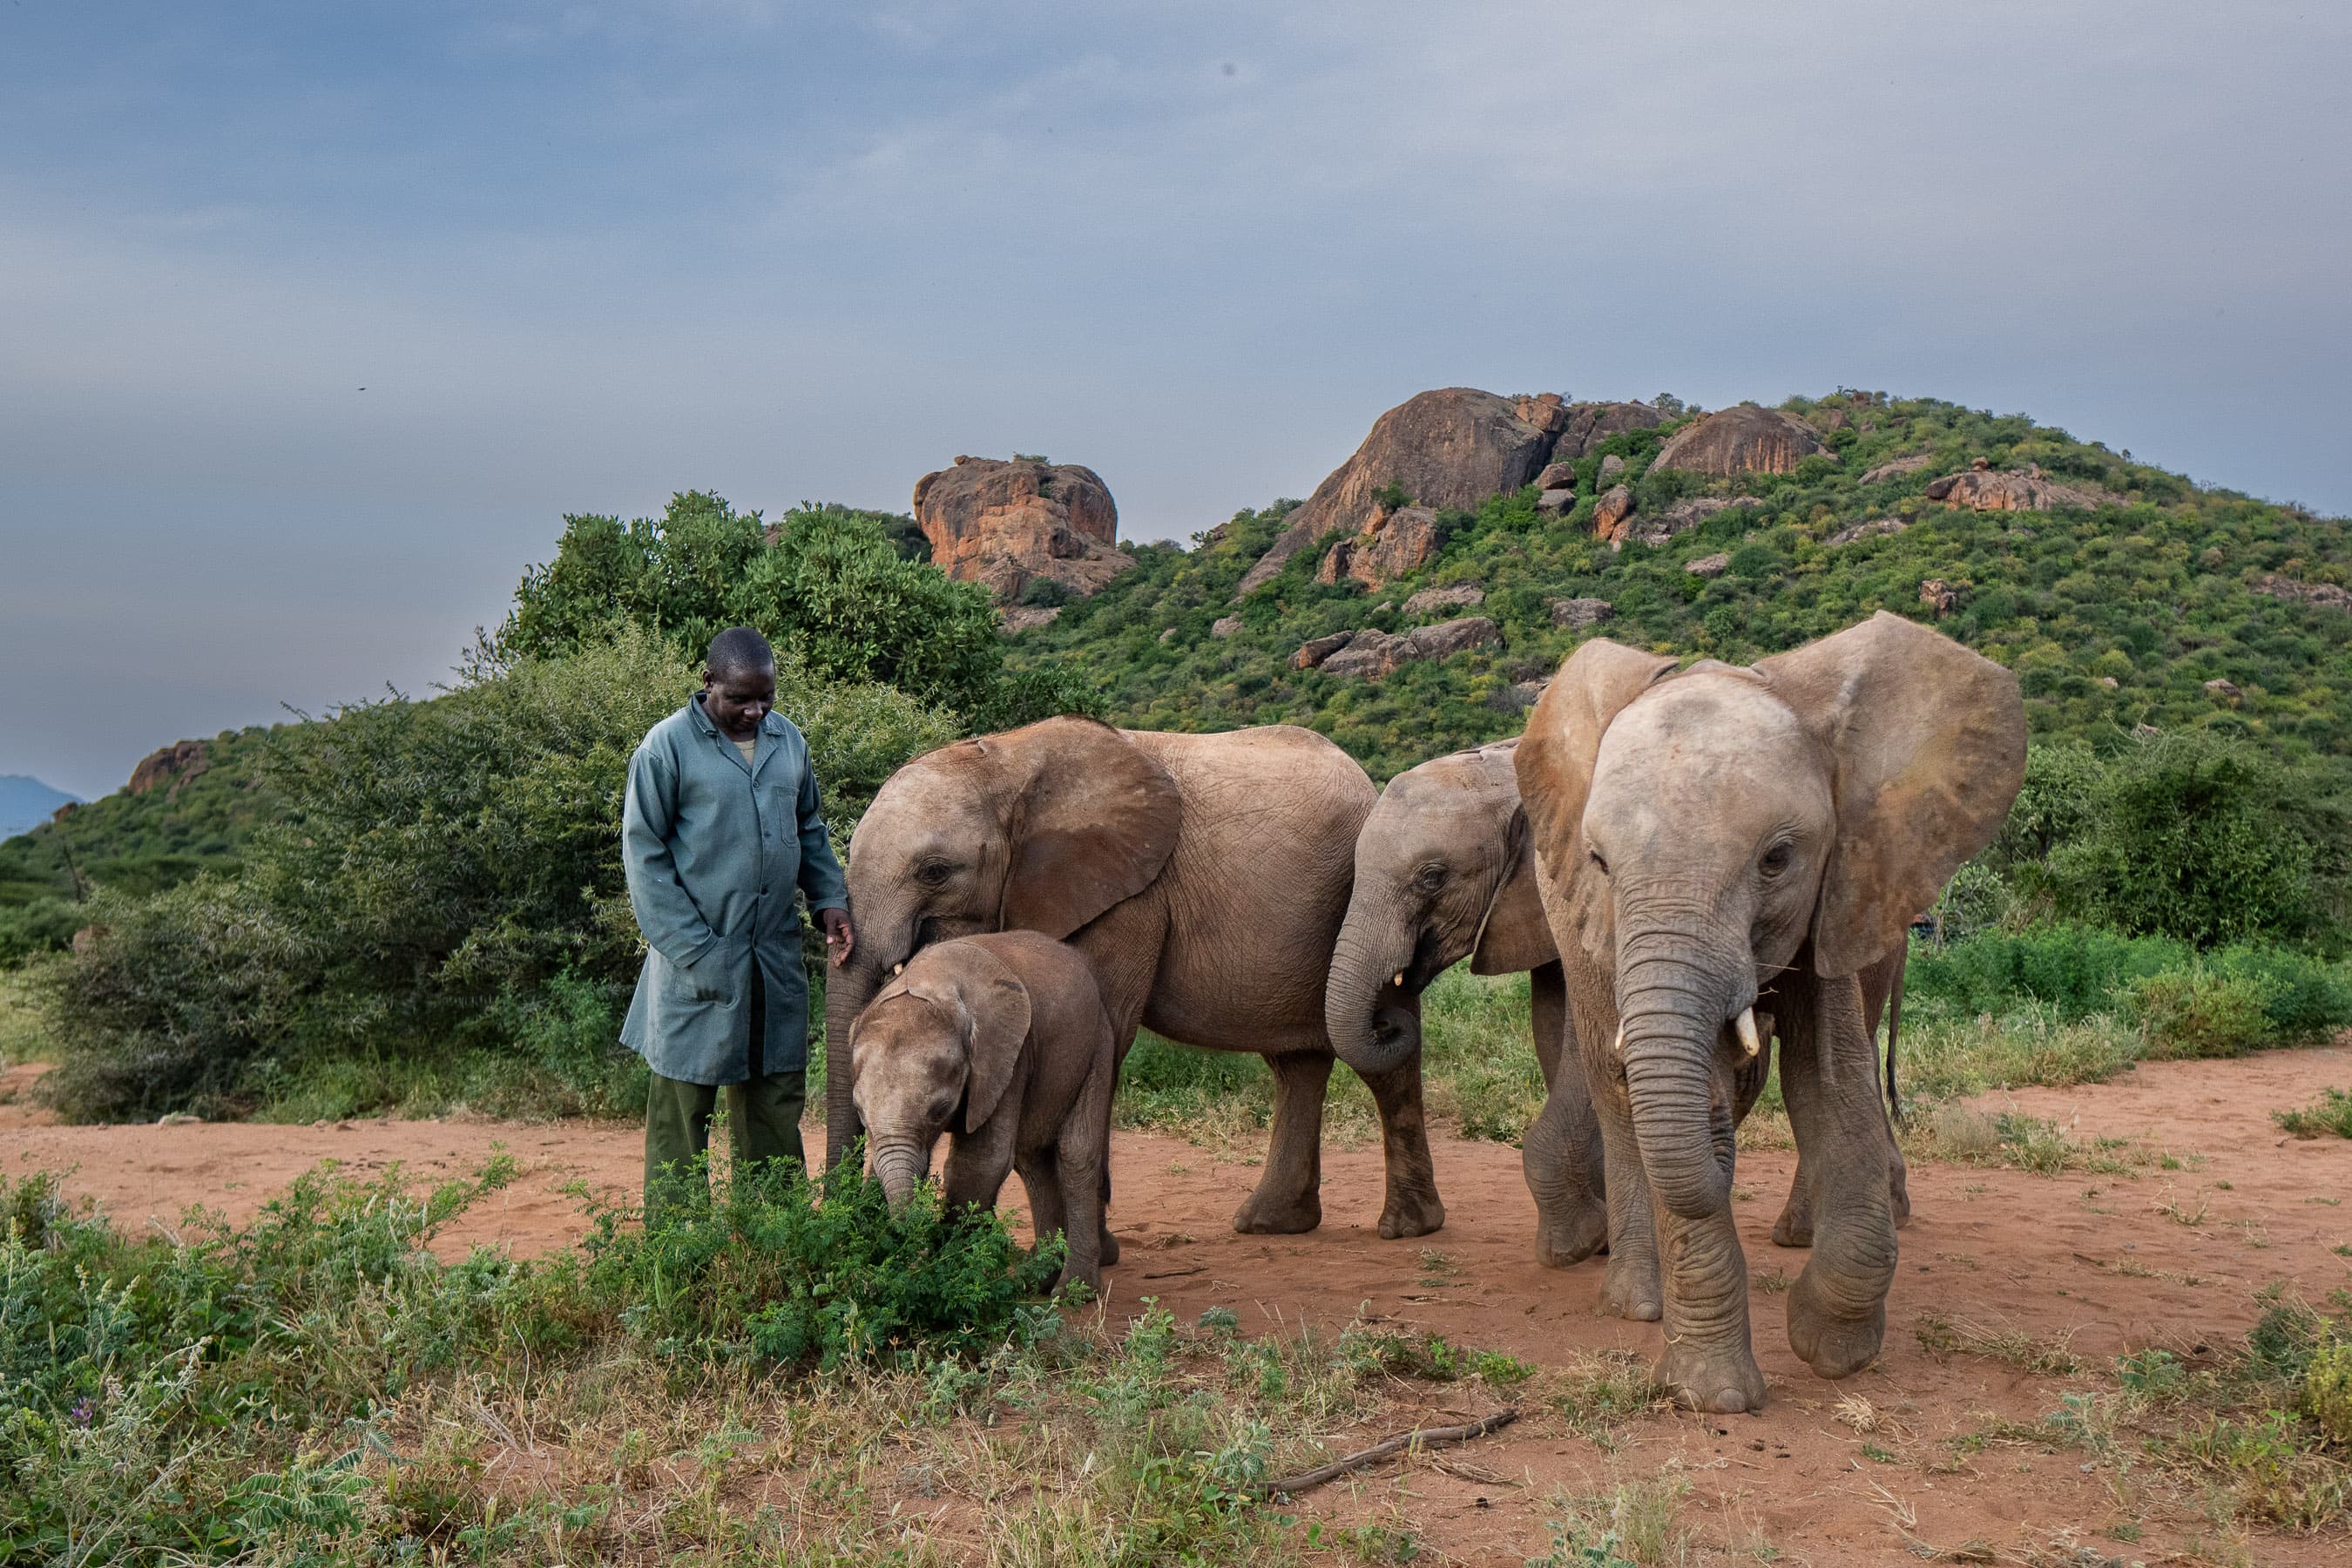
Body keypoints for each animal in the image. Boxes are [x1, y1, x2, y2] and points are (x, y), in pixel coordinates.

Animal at [822, 716, 1446, 1241]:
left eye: (934, 871)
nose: (844, 1214)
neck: (1006, 761)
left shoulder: (1129, 900)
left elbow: (1107, 1032)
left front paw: (1097, 1253)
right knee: (1298, 1065)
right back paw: (1272, 1225)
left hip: (1374, 895)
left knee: (1380, 1056)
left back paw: (1406, 1229)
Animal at [847, 931, 1116, 1292]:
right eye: (860, 1113)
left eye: (940, 1111)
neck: (931, 983)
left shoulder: (1005, 1058)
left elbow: (980, 1162)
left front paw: (947, 1278)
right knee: (1033, 1161)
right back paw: (1037, 1279)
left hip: (1098, 1045)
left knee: (1074, 1154)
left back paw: (1073, 1290)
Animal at [1325, 739, 1914, 1272]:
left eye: (1432, 877)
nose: (1389, 1019)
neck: (1503, 771)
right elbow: (1555, 1029)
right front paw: (1606, 1234)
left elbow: (1581, 1047)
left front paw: (1576, 1244)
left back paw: (1801, 1233)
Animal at [1515, 611, 2024, 1412]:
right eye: (1600, 862)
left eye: (1778, 859)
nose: (1718, 1115)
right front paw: (1713, 1398)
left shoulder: (1840, 887)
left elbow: (1830, 1080)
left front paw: (1830, 1349)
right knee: (1611, 1084)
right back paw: (1637, 1302)